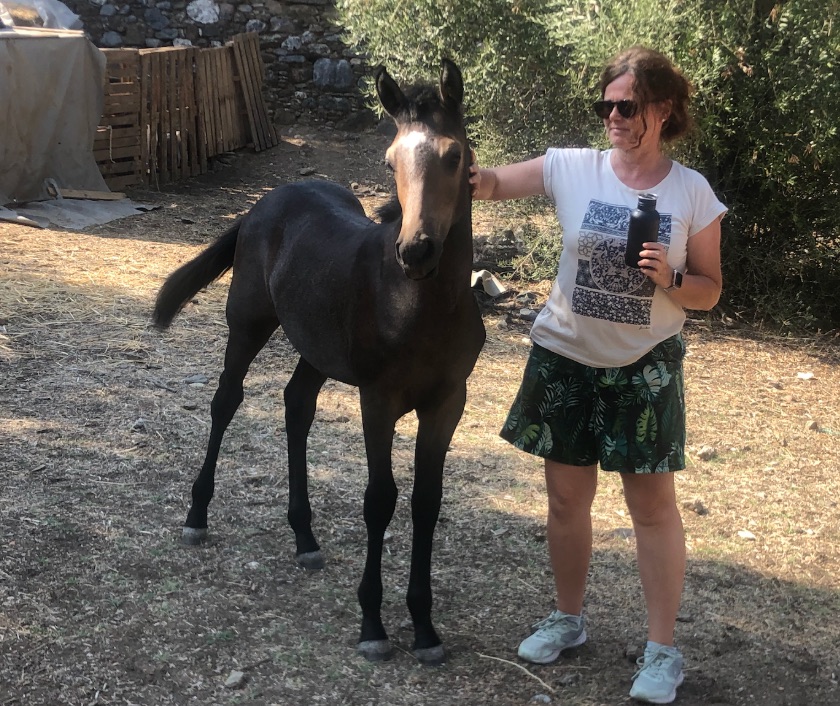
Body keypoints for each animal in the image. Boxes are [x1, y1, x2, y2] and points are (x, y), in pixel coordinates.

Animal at [152, 59, 486, 665]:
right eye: (390, 161)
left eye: (455, 155)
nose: (416, 251)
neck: (421, 304)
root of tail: (266, 201)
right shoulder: (378, 399)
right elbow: (380, 500)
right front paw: (373, 624)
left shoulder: (448, 401)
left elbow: (426, 502)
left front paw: (425, 628)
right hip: (248, 325)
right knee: (226, 400)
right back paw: (196, 515)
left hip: (316, 348)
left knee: (296, 405)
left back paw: (304, 537)